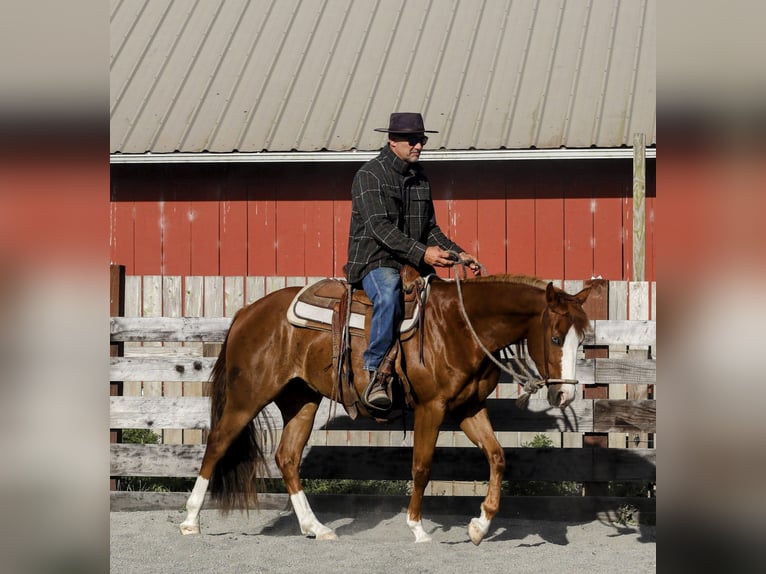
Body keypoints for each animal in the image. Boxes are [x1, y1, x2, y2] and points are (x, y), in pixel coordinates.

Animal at [179, 272, 598, 544]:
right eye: (556, 337)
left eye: (582, 340)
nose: (565, 397)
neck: (458, 327)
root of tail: (248, 313)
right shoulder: (432, 407)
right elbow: (422, 466)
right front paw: (417, 528)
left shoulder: (468, 407)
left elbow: (496, 456)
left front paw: (480, 527)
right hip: (247, 396)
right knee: (216, 445)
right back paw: (190, 521)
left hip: (301, 398)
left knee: (287, 457)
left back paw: (317, 528)